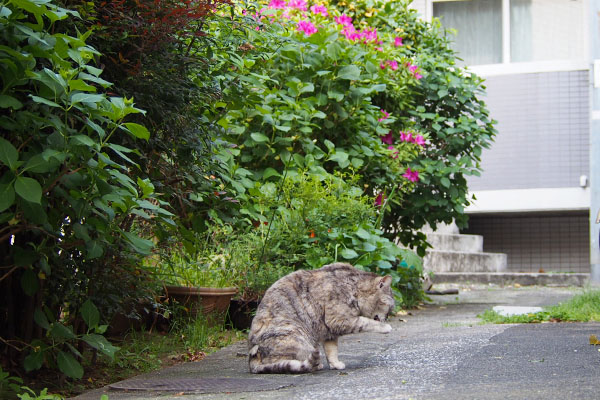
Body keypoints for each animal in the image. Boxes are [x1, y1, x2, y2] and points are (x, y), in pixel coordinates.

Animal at [248, 260, 394, 374]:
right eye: (389, 308)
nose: (387, 317)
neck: (354, 287)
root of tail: (251, 360)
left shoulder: (330, 331)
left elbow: (332, 350)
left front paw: (335, 364)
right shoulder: (339, 320)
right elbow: (366, 322)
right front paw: (385, 327)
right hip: (297, 336)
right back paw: (314, 365)